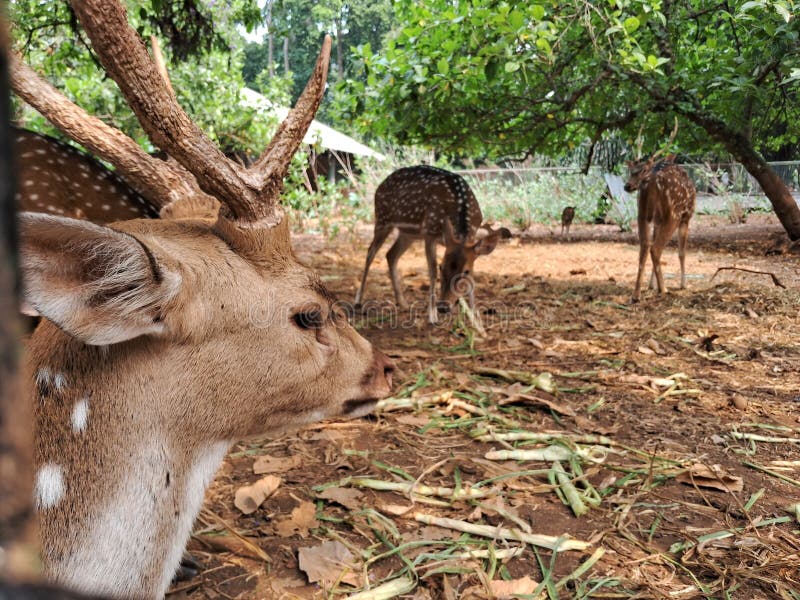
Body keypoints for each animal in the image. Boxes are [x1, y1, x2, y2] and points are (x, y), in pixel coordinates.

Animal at [354, 164, 510, 324]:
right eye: (442, 266)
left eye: (466, 271)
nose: (443, 307)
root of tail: (380, 186)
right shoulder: (429, 233)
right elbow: (432, 271)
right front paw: (432, 315)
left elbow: (473, 278)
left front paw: (475, 316)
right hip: (383, 219)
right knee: (370, 252)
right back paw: (358, 301)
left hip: (409, 233)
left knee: (390, 254)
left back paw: (403, 303)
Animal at [624, 145, 692, 300]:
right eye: (631, 171)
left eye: (643, 170)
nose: (627, 186)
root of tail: (653, 182)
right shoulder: (686, 217)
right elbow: (682, 252)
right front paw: (683, 285)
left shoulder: (656, 221)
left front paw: (651, 285)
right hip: (674, 214)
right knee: (655, 248)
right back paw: (664, 289)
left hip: (642, 213)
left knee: (645, 246)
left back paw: (636, 294)